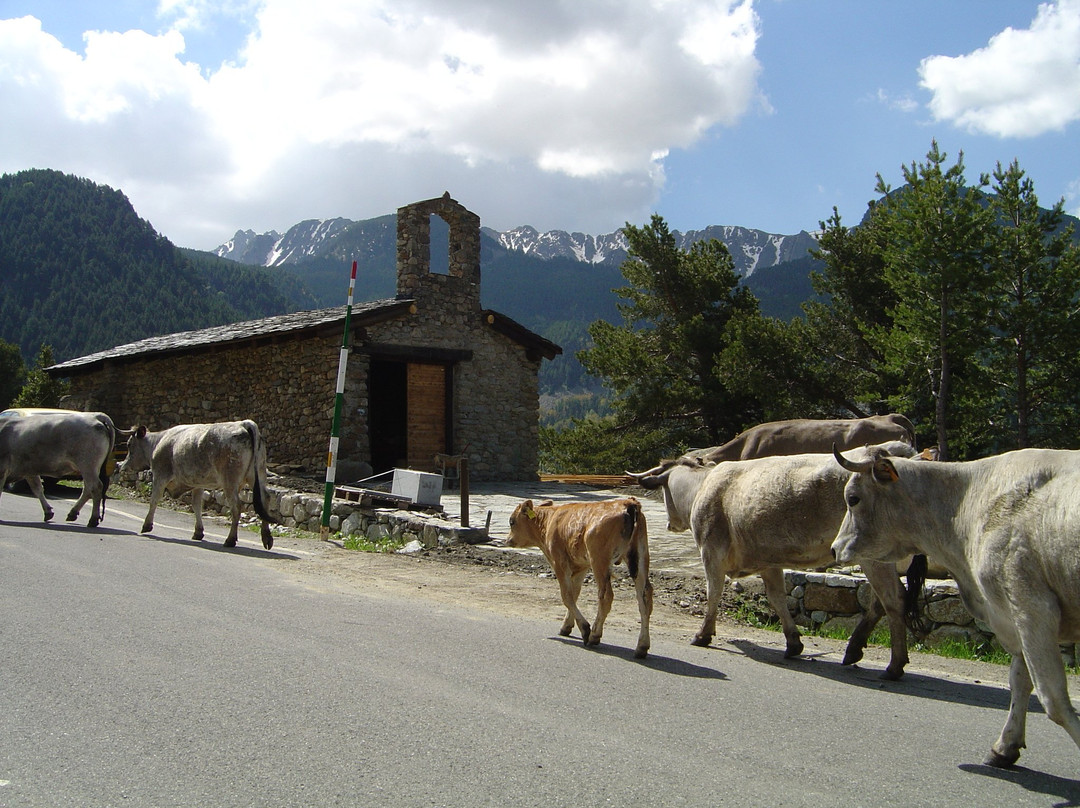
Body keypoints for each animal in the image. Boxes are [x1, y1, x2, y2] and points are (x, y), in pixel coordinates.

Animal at [123, 423, 276, 548]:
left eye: (129, 444)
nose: (123, 465)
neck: (158, 442)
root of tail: (244, 423)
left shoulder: (160, 476)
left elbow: (154, 500)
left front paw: (147, 525)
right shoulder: (198, 483)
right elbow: (197, 505)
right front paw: (198, 532)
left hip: (230, 481)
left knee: (236, 507)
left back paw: (230, 539)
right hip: (258, 475)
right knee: (265, 499)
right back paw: (266, 537)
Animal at [503, 494, 648, 661]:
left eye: (512, 521)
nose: (507, 540)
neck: (549, 520)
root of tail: (627, 502)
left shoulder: (559, 562)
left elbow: (566, 596)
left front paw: (584, 629)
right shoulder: (581, 567)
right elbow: (574, 594)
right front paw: (566, 626)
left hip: (599, 560)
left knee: (606, 596)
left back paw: (594, 635)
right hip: (640, 558)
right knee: (645, 598)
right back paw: (641, 647)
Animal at [833, 445, 1080, 769]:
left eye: (853, 498)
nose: (835, 548)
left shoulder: (1031, 607)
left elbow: (1053, 698)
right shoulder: (1011, 615)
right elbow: (1019, 681)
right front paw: (1005, 747)